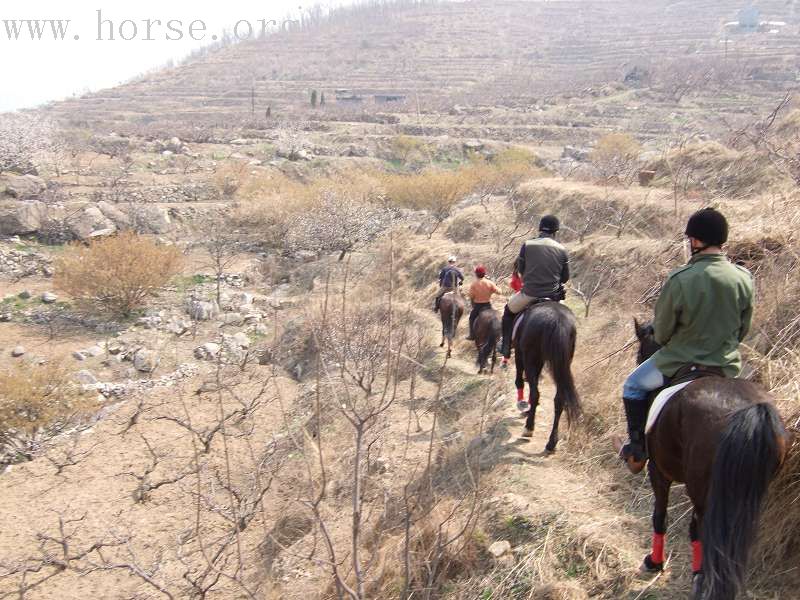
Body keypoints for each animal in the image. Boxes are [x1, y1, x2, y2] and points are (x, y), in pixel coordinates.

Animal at [512, 302, 580, 452]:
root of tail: (557, 321)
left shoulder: (521, 356)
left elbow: (520, 380)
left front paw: (524, 405)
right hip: (562, 365)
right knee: (559, 400)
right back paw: (551, 443)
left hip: (530, 357)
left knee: (535, 393)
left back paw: (528, 428)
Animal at [632, 322, 792, 596]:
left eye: (640, 352)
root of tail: (750, 411)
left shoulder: (658, 471)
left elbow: (660, 517)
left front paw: (654, 563)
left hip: (701, 489)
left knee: (706, 531)